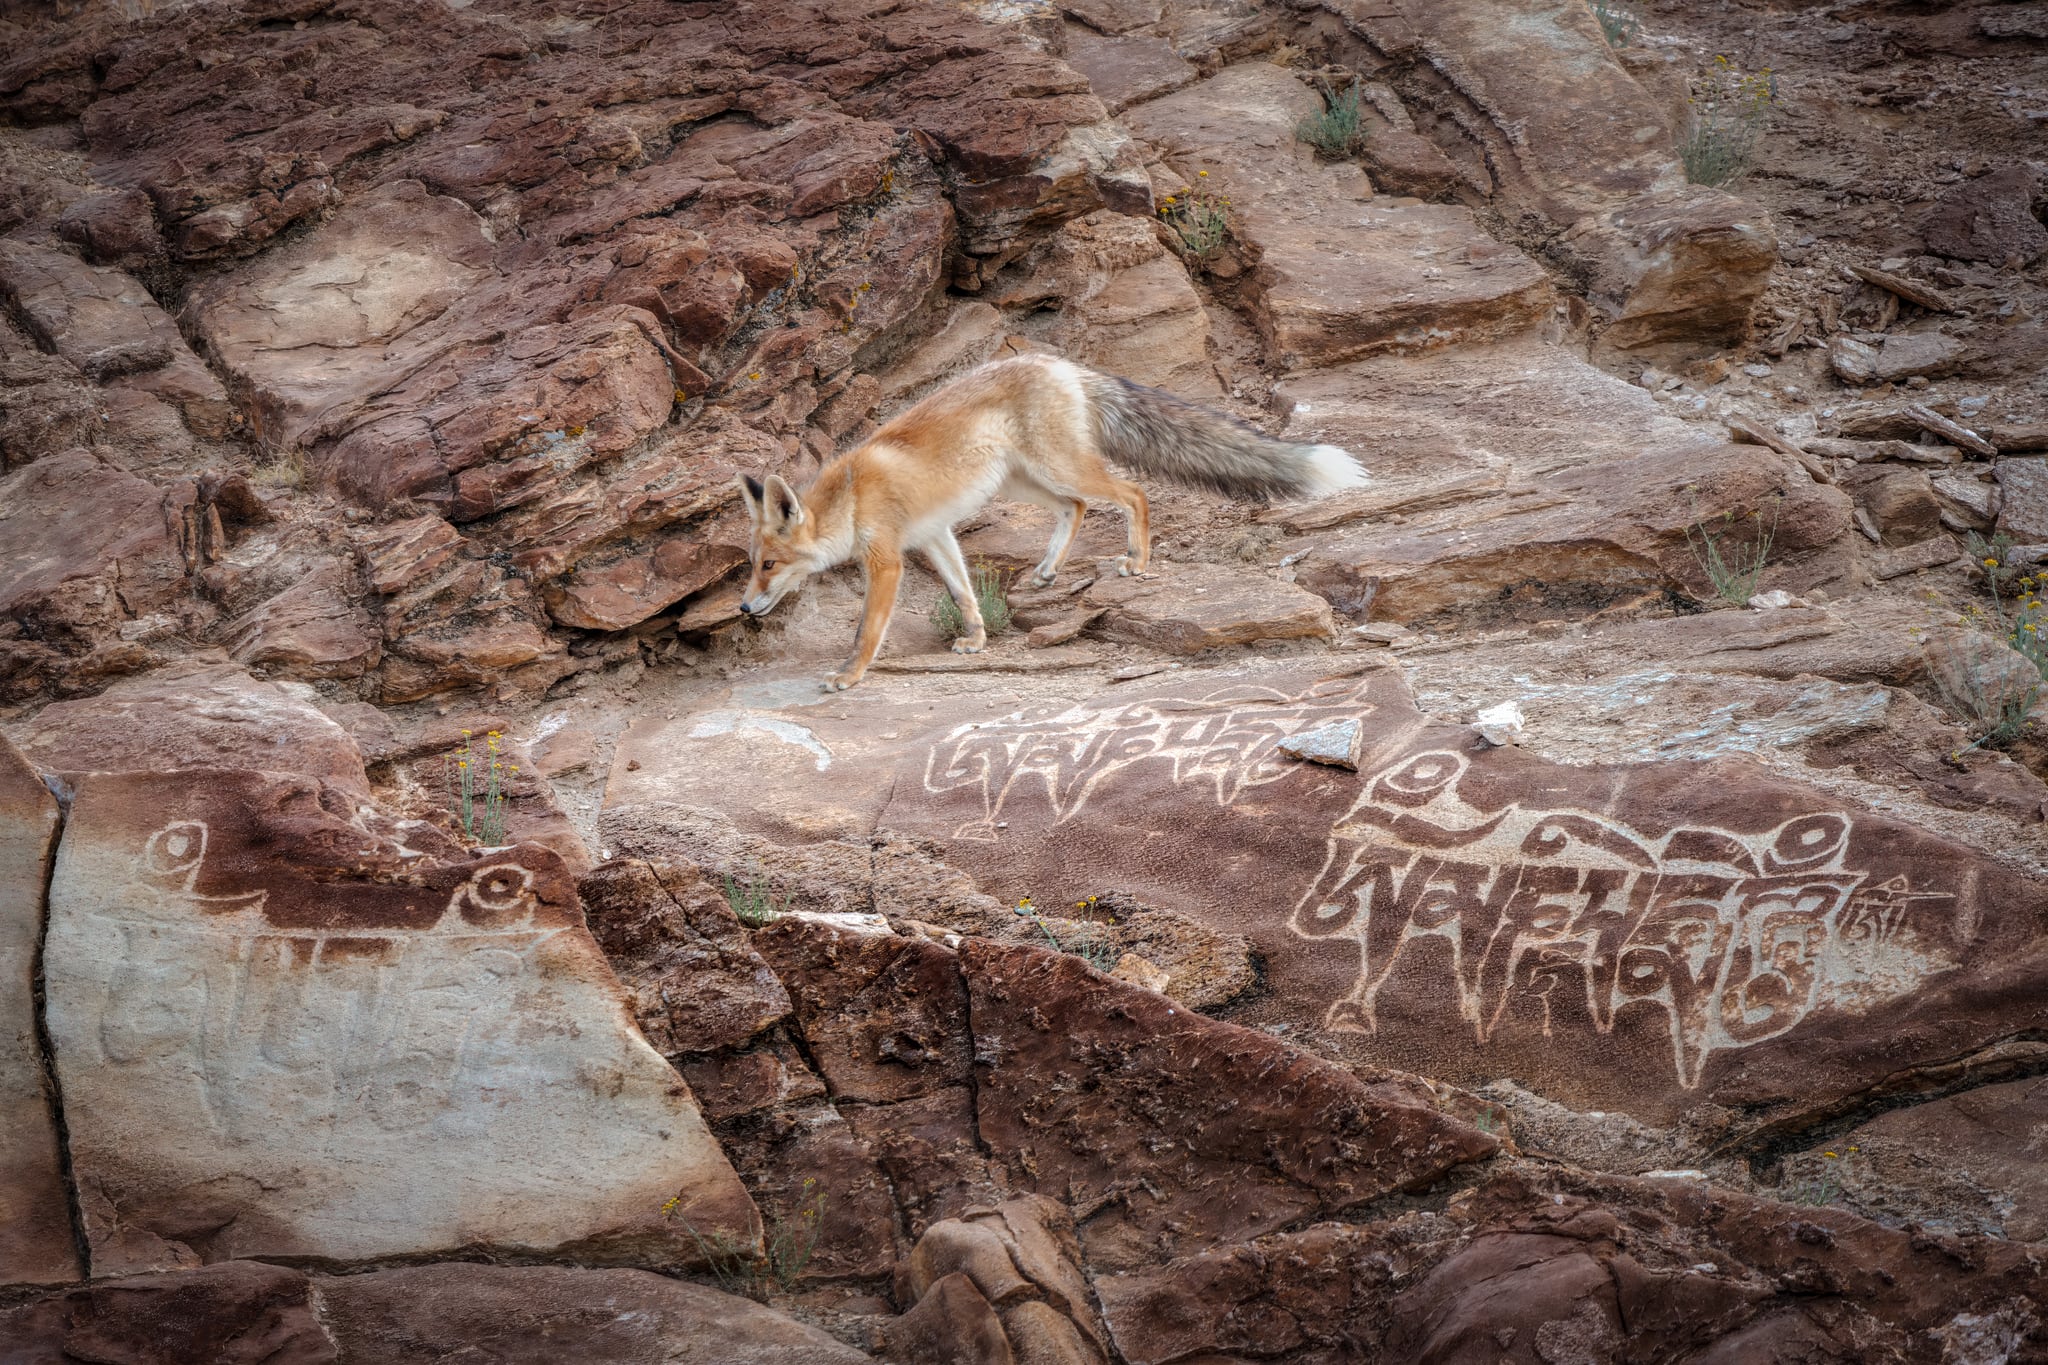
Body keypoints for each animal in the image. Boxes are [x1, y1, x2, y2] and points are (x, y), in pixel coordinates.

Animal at [735, 353, 1366, 691]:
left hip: (1056, 467)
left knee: (1132, 492)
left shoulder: (887, 558)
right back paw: (1046, 571)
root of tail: (1062, 364)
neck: (851, 499)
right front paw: (978, 639)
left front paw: (849, 675)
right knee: (1077, 507)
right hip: (1025, 480)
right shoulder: (935, 535)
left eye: (769, 565)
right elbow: (964, 593)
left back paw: (1137, 560)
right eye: (751, 566)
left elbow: (867, 629)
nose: (742, 608)